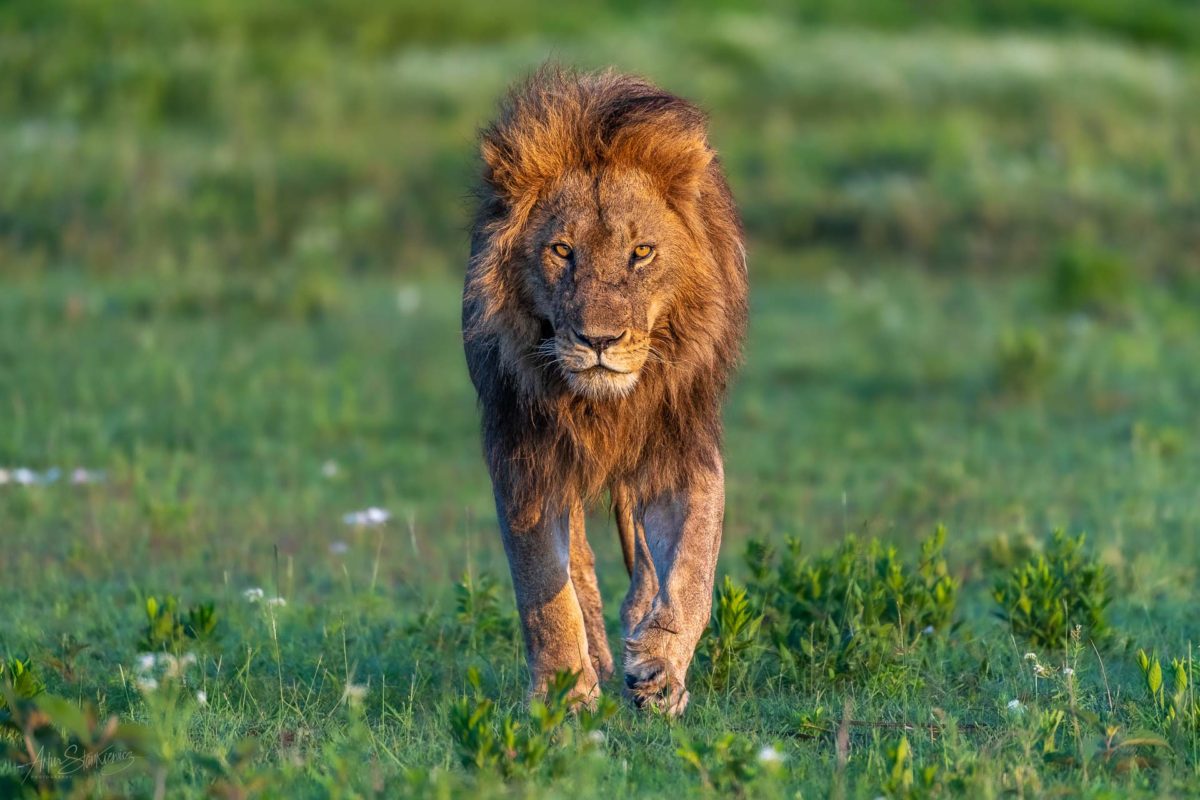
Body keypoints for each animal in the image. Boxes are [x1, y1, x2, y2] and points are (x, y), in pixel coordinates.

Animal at [463, 64, 744, 714]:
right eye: (562, 250)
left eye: (641, 252)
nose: (599, 340)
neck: (604, 405)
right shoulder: (524, 454)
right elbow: (544, 585)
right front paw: (563, 691)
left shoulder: (683, 445)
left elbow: (692, 565)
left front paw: (660, 668)